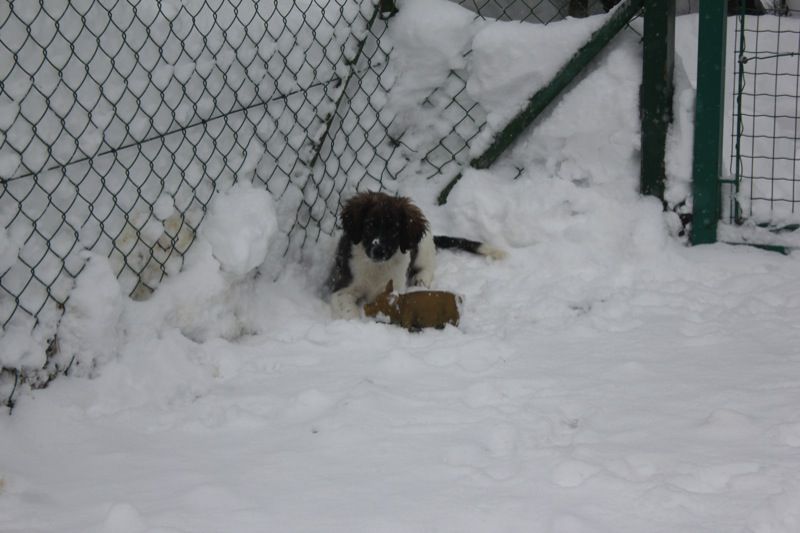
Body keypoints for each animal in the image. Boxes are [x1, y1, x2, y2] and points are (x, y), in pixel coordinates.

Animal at [326, 190, 506, 318]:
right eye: (369, 226)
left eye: (395, 230)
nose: (379, 251)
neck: (377, 267)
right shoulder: (342, 288)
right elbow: (349, 311)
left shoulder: (393, 289)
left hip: (422, 248)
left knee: (428, 267)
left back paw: (420, 280)